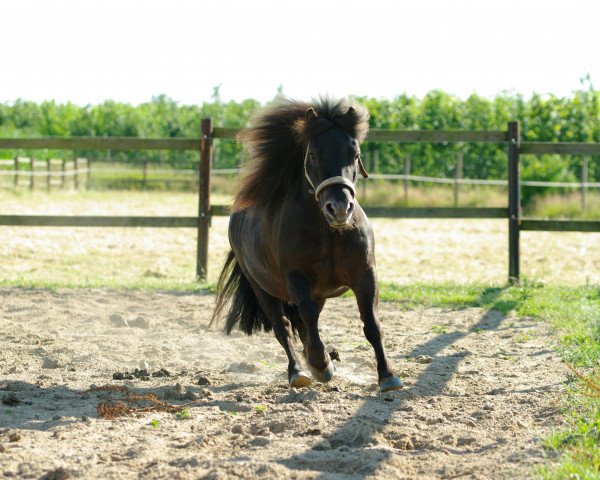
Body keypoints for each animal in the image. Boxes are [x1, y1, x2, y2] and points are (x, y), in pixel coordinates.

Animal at [211, 98, 404, 394]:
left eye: (355, 154)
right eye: (313, 155)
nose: (340, 208)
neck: (328, 233)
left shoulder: (365, 274)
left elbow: (371, 323)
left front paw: (387, 376)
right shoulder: (296, 279)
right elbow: (306, 318)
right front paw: (320, 363)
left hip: (319, 292)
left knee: (302, 325)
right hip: (263, 289)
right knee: (284, 326)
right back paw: (299, 371)